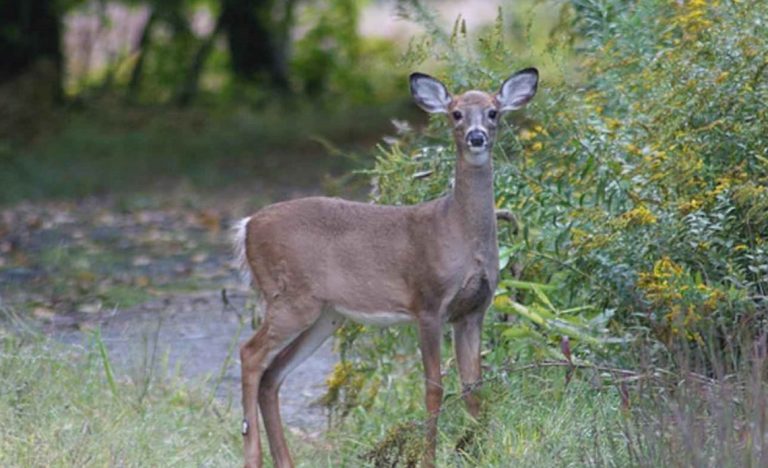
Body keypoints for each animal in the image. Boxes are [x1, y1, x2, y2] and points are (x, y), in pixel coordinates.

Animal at [234, 66, 540, 468]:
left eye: (493, 112)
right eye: (456, 113)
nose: (476, 137)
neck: (459, 232)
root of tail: (247, 225)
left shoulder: (473, 311)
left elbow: (474, 388)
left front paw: (479, 452)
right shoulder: (428, 302)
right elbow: (434, 388)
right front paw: (429, 458)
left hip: (325, 315)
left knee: (272, 375)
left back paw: (285, 462)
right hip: (289, 297)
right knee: (250, 354)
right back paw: (252, 456)